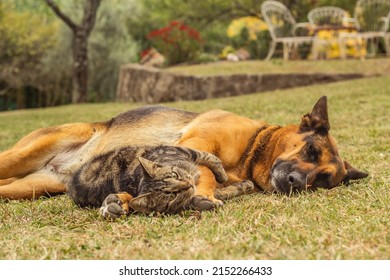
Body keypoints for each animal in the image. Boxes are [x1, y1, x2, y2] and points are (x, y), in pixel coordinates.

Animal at [0, 96, 368, 210]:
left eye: (323, 181)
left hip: (32, 186)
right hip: (25, 154)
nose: (296, 182)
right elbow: (204, 173)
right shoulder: (197, 144)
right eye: (310, 149)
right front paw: (201, 195)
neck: (252, 150)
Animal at [68, 145, 227, 218]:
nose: (188, 184)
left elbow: (209, 157)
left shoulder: (181, 150)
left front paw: (222, 175)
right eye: (172, 195)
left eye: (175, 175)